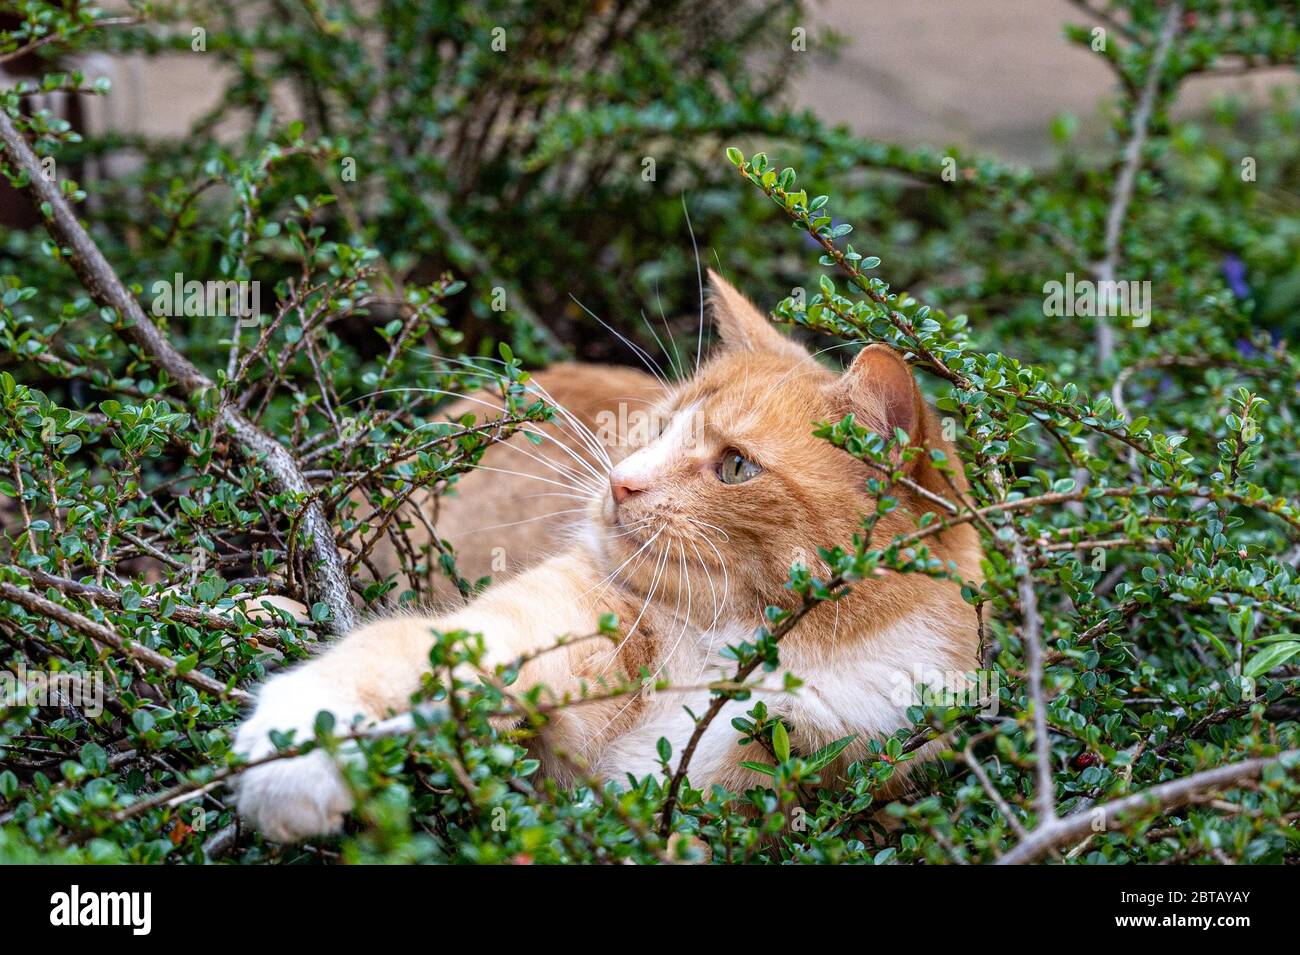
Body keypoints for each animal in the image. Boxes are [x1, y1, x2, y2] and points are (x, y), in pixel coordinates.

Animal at [236, 270, 982, 841]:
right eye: (658, 427)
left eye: (736, 466)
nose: (621, 480)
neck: (733, 654)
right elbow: (410, 648)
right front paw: (300, 740)